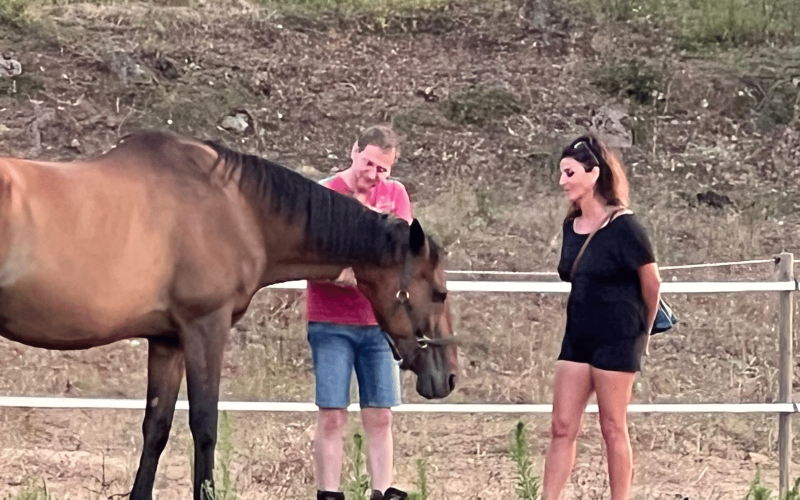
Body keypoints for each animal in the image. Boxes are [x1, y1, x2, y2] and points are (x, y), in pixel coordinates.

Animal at [0, 131, 460, 500]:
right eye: (439, 293)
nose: (450, 377)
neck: (239, 209)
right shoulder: (206, 328)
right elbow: (204, 426)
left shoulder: (168, 341)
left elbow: (156, 427)